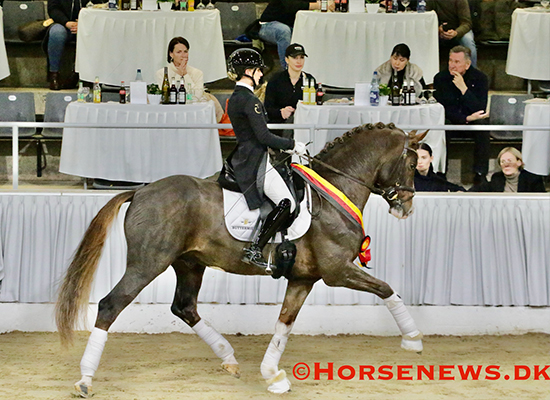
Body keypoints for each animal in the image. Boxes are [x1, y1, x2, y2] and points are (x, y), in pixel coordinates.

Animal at [56, 122, 427, 397]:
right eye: (412, 164)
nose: (406, 208)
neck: (333, 191)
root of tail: (142, 190)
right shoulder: (337, 271)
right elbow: (386, 289)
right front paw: (413, 339)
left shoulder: (303, 278)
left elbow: (284, 323)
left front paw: (273, 375)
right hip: (148, 263)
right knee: (111, 305)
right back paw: (85, 380)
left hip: (189, 264)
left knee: (184, 307)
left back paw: (228, 357)